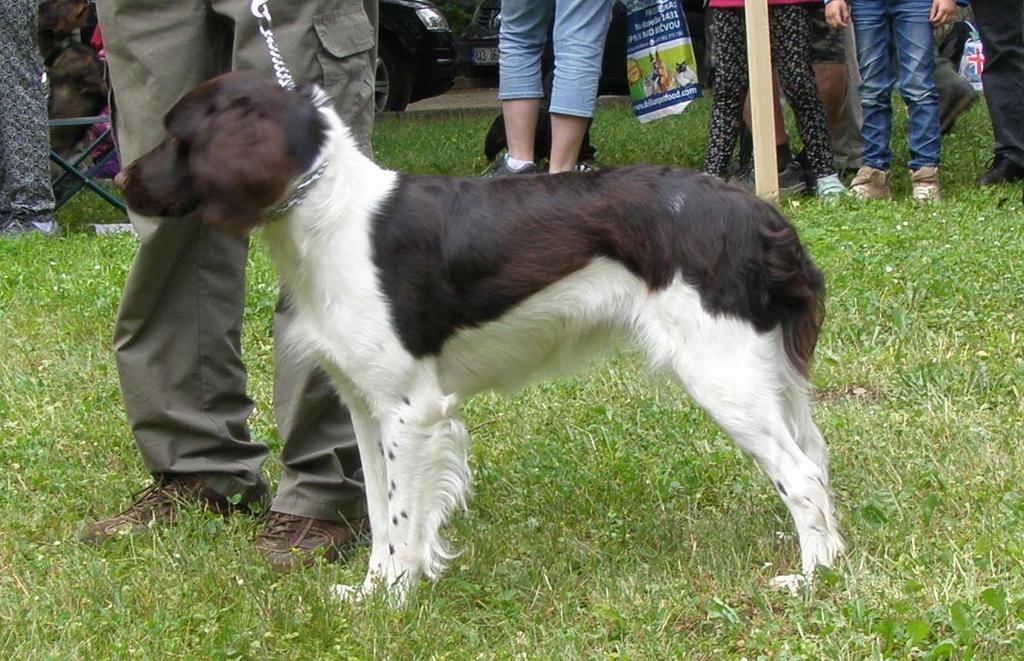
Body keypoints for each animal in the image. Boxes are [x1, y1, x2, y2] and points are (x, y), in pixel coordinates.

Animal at [116, 72, 843, 605]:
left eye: (177, 137)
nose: (122, 181)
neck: (332, 217)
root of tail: (759, 214)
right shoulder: (364, 406)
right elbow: (378, 510)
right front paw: (370, 592)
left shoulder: (412, 408)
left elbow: (403, 517)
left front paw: (395, 599)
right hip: (764, 372)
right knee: (816, 456)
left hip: (723, 373)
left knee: (802, 474)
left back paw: (811, 579)